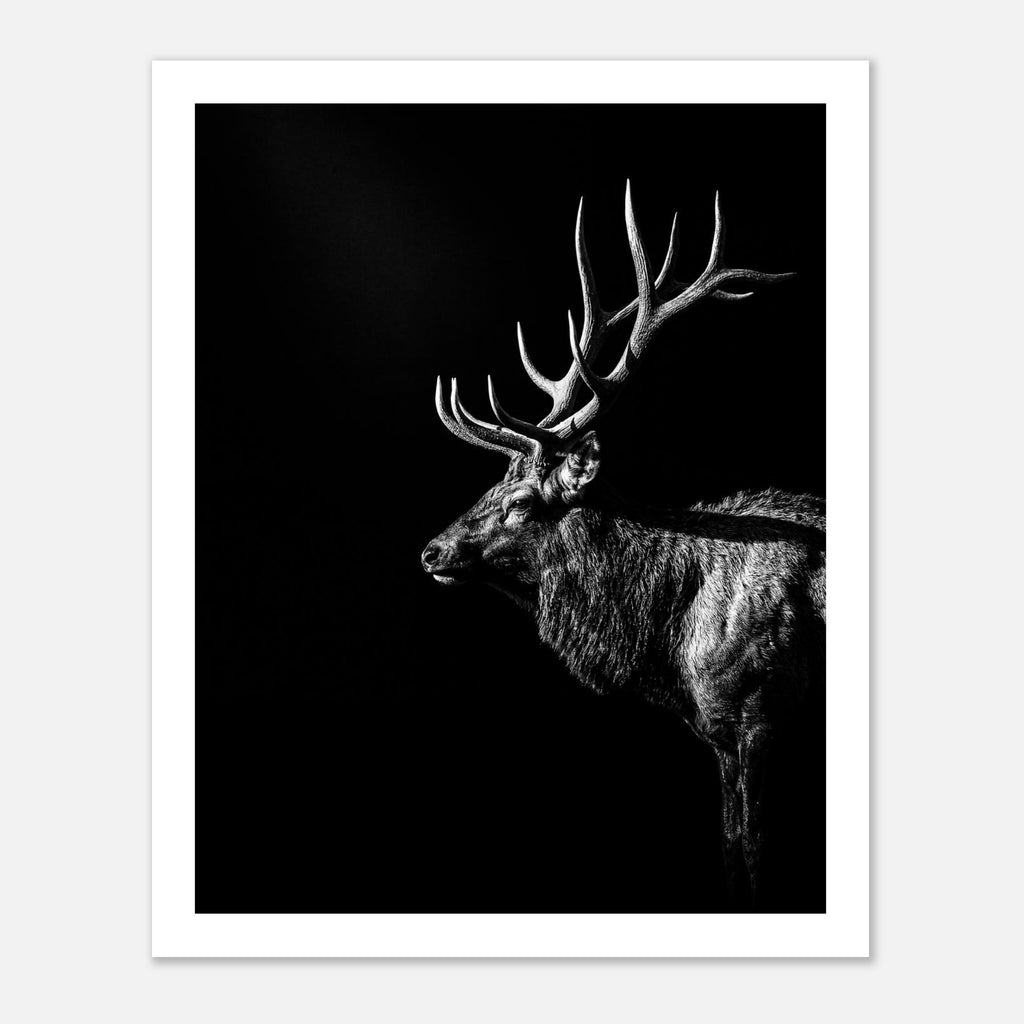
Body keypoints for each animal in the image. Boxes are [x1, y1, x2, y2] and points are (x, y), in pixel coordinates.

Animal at [420, 183, 825, 910]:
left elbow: (754, 853)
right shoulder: (720, 737)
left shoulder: (762, 717)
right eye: (490, 486)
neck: (671, 641)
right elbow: (730, 851)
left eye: (521, 502)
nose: (431, 552)